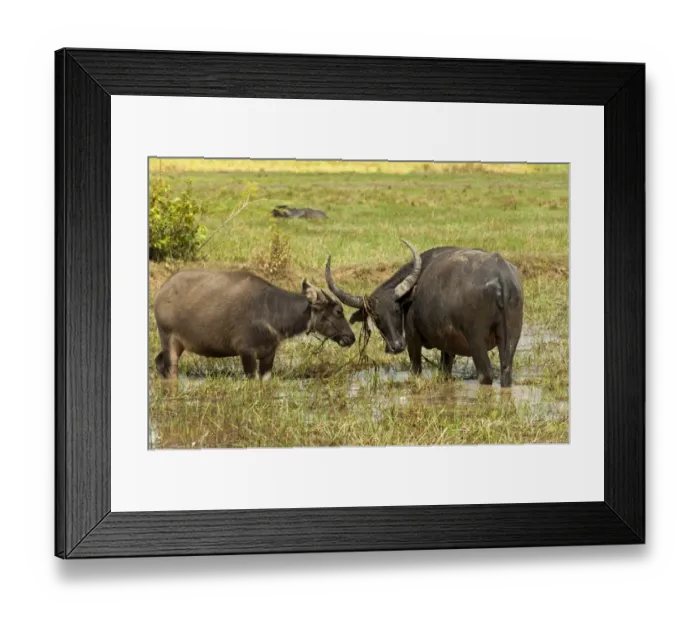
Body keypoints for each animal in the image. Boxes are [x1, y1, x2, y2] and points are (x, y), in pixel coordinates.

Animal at [153, 269, 355, 380]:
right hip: (168, 337)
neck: (271, 310)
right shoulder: (247, 352)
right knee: (170, 370)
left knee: (159, 362)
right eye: (338, 311)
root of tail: (162, 291)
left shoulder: (268, 355)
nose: (350, 337)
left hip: (178, 345)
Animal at [324, 241, 524, 387]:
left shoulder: (413, 339)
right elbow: (445, 369)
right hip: (511, 337)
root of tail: (501, 276)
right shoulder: (447, 344)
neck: (410, 295)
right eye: (376, 317)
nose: (396, 346)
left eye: (396, 310)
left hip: (476, 340)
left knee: (485, 374)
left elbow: (416, 368)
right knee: (506, 371)